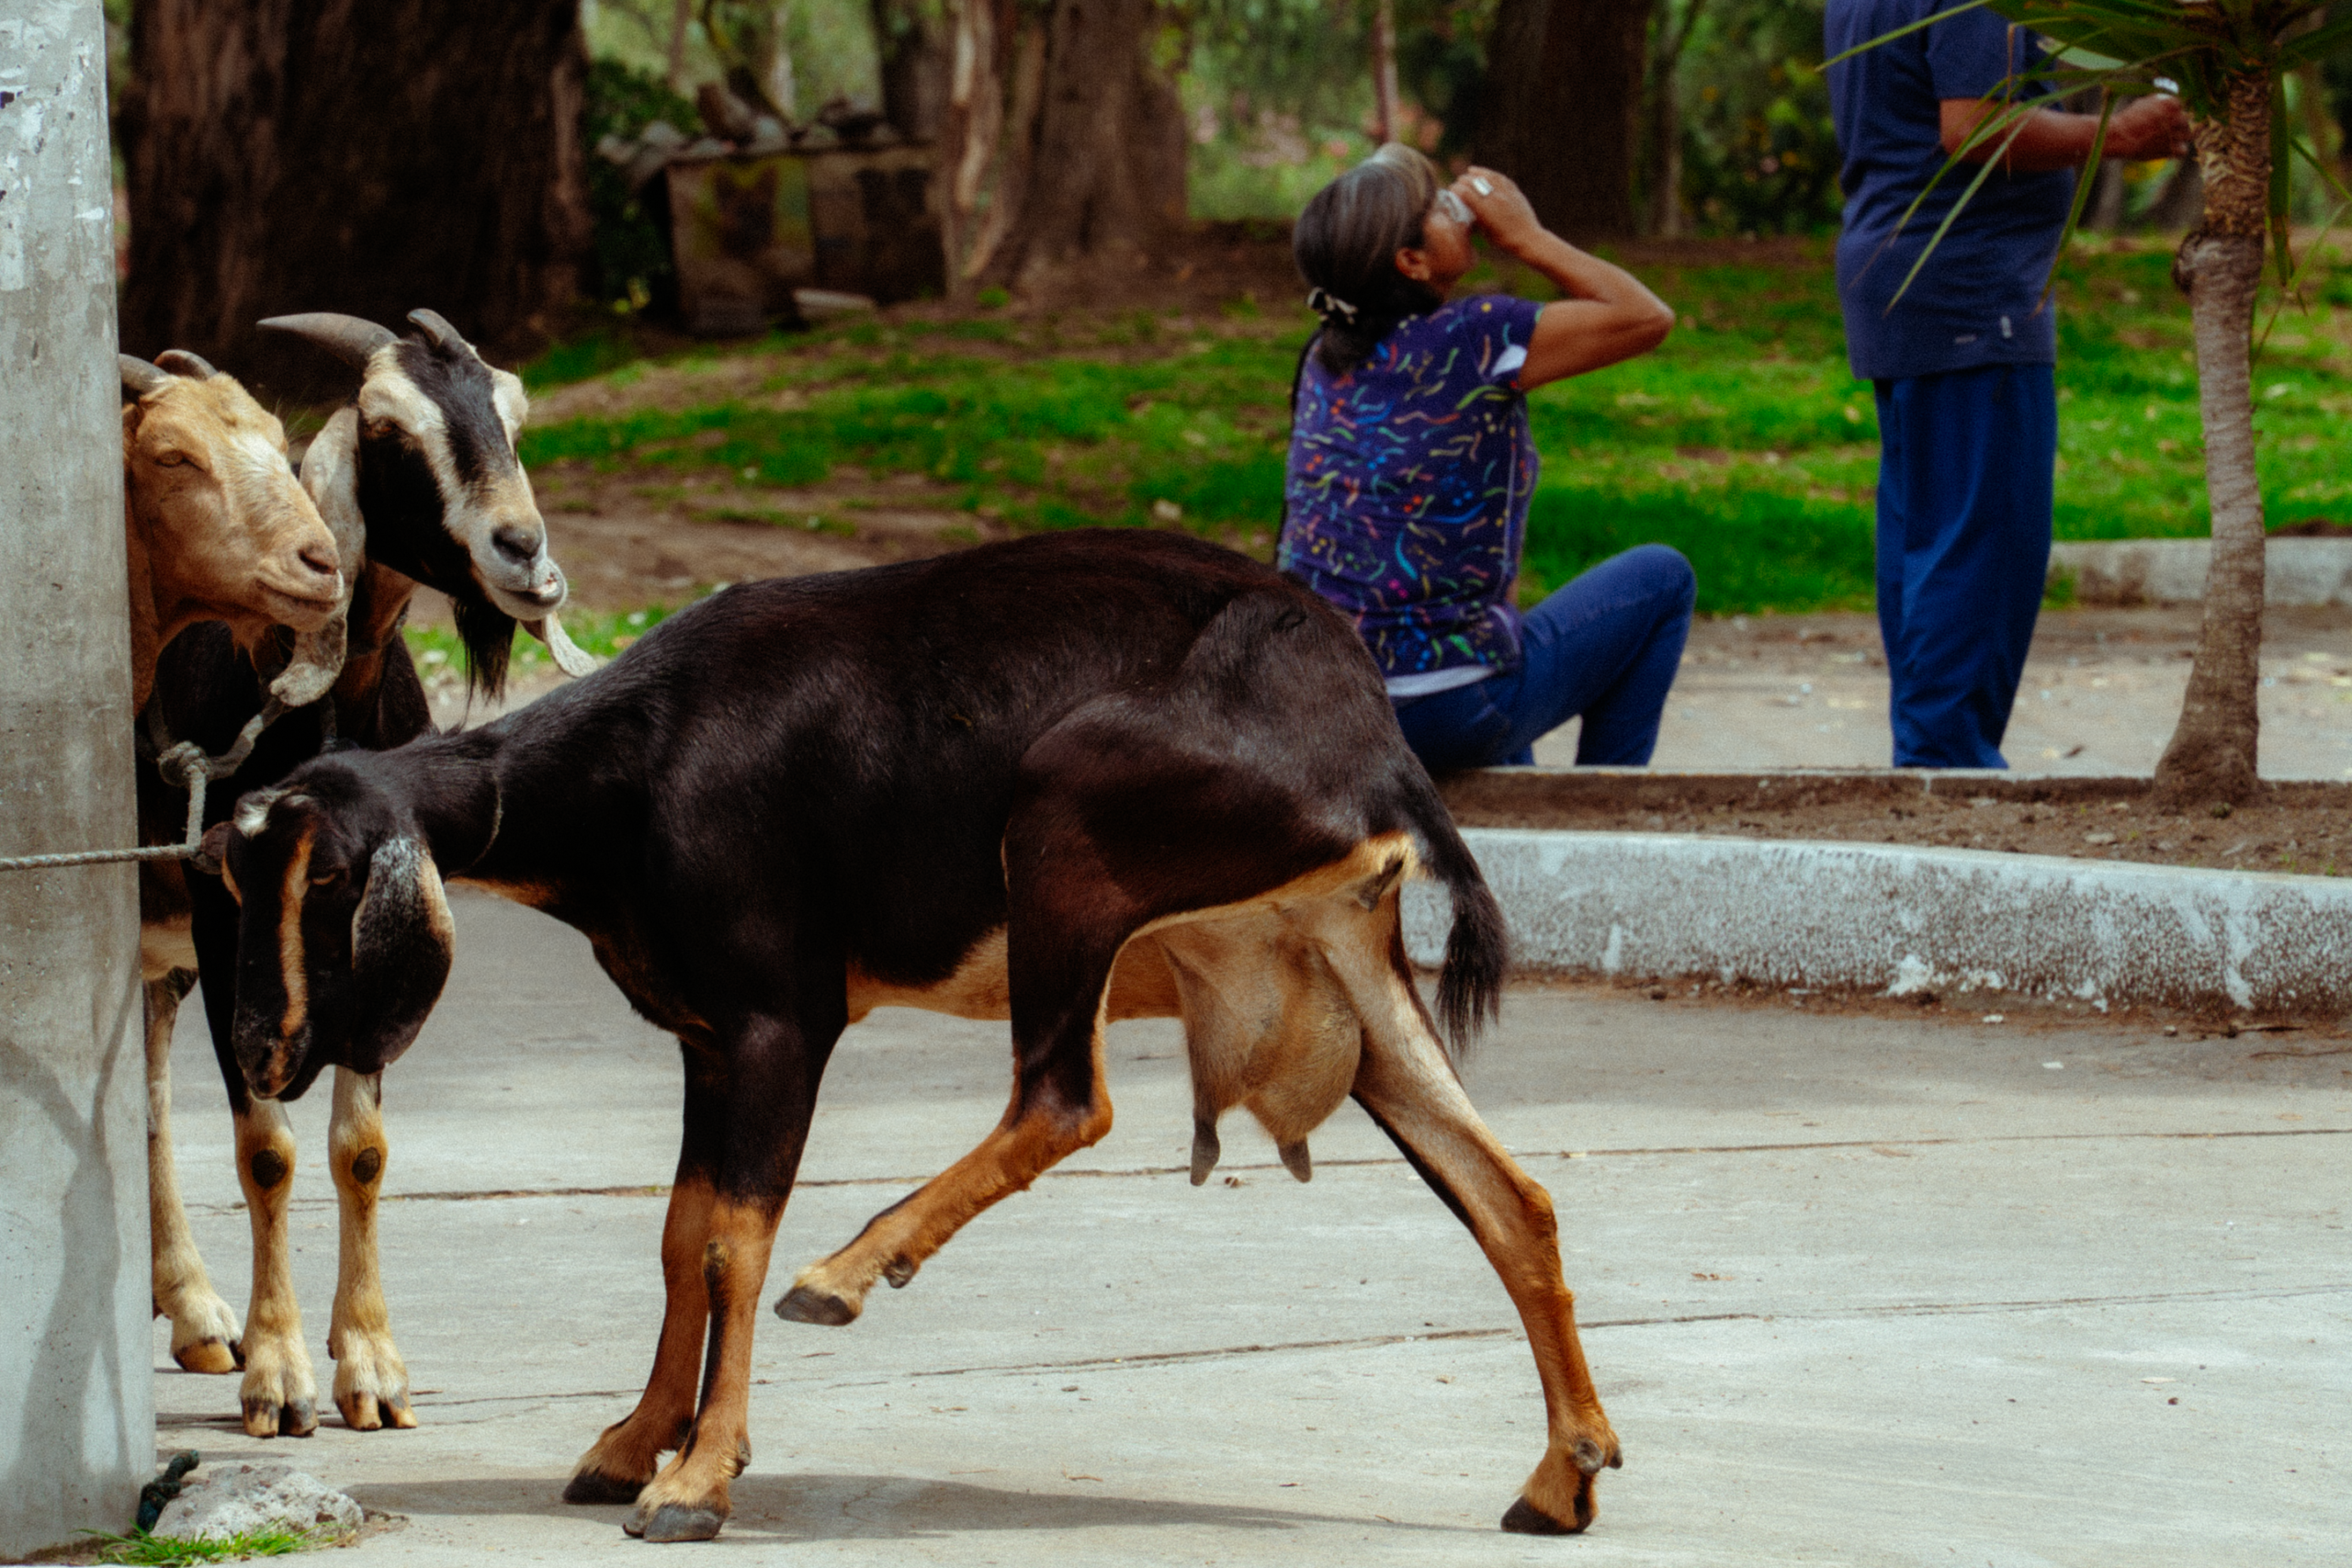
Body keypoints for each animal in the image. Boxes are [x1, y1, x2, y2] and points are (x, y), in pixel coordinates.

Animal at [141, 309, 591, 1440]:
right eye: (388, 430)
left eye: (513, 411)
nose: (523, 550)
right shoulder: (227, 916)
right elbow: (267, 1149)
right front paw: (280, 1374)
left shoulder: (355, 925)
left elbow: (361, 1147)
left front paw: (373, 1367)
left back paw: (195, 1312)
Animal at [213, 530, 1623, 1540]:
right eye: (236, 875)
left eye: (327, 881)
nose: (265, 1053)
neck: (637, 764)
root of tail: (1369, 734)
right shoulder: (705, 1038)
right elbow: (678, 1236)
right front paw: (632, 1442)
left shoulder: (783, 1018)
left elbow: (729, 1242)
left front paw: (697, 1478)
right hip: (1341, 961)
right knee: (1511, 1194)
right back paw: (1564, 1473)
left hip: (1063, 832)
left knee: (1067, 1098)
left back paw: (845, 1273)